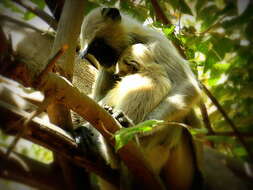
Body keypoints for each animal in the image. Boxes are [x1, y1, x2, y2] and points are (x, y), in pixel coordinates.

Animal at [80, 6, 203, 189]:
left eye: (97, 45)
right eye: (92, 51)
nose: (101, 60)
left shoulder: (156, 42)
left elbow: (188, 87)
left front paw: (134, 130)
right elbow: (95, 104)